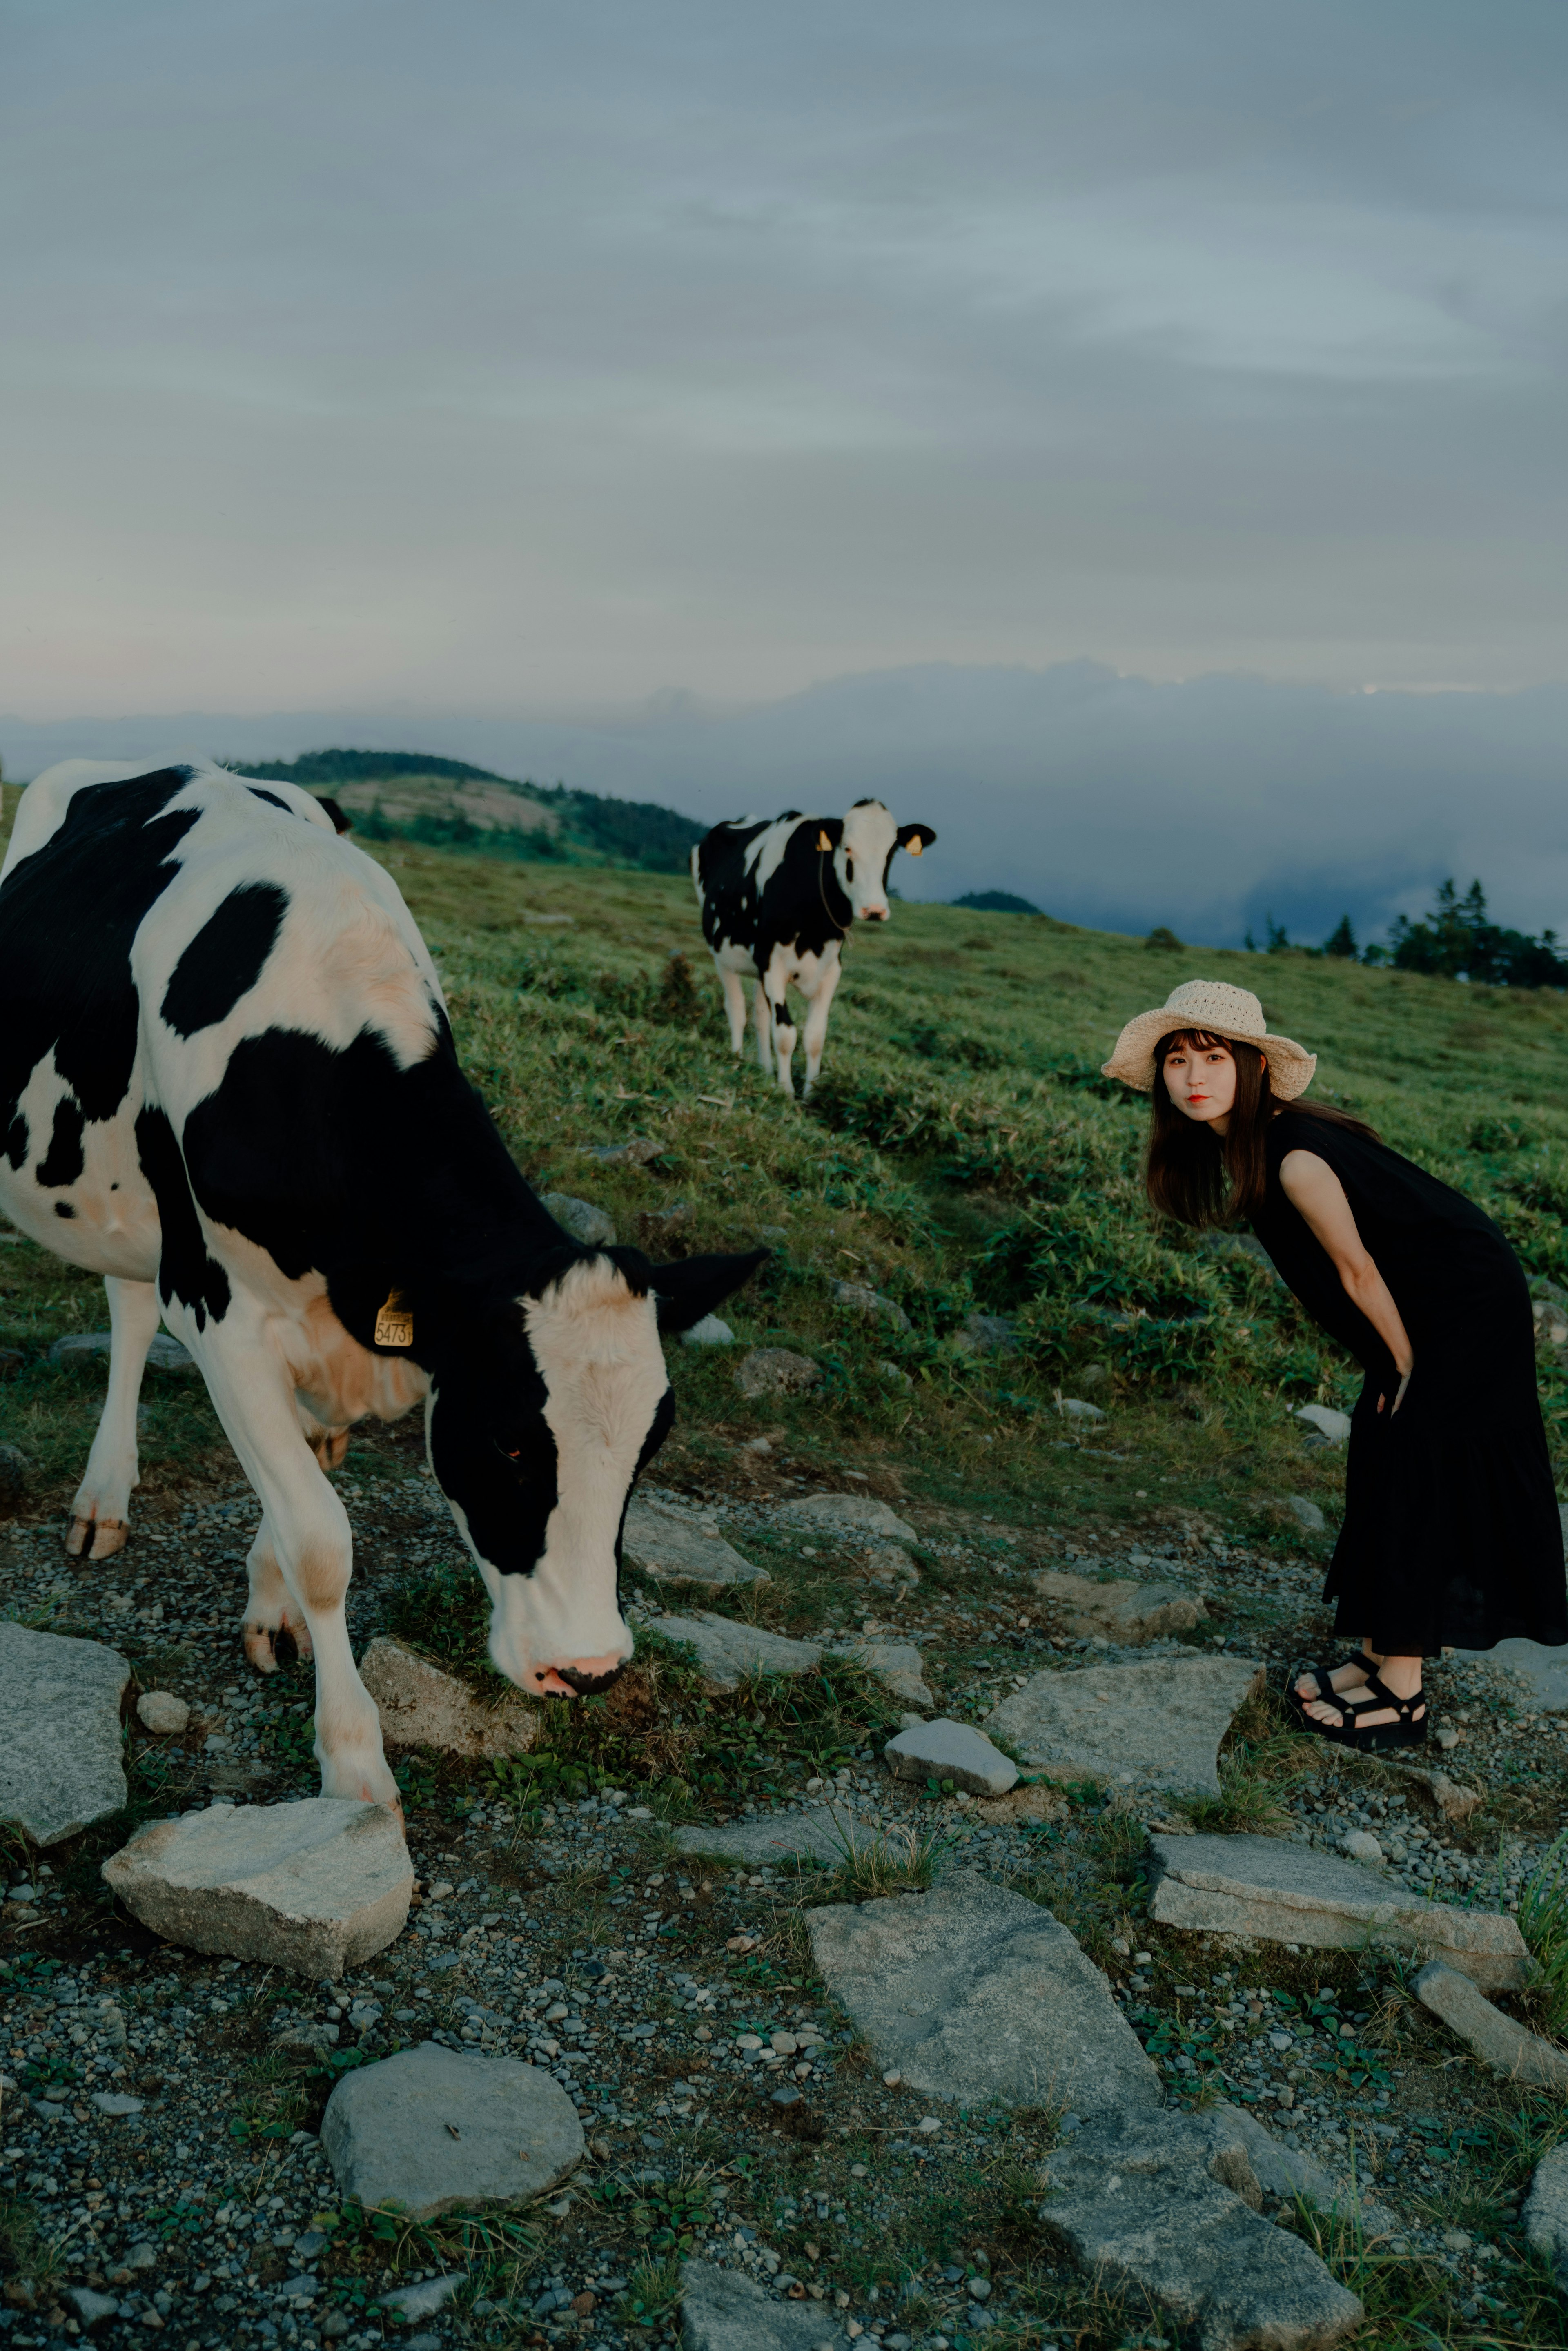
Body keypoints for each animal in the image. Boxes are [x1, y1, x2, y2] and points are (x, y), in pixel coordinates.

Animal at [0, 762, 762, 1805]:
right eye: (508, 1442)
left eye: (650, 1447)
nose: (588, 1669)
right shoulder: (217, 1307)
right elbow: (322, 1540)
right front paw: (355, 1766)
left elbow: (298, 1491)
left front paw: (271, 1604)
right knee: (132, 1310)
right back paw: (102, 1500)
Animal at [691, 794, 940, 1095]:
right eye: (847, 848)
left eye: (891, 851)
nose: (875, 910)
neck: (814, 927)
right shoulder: (772, 963)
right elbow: (786, 1033)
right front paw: (786, 1091)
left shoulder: (831, 969)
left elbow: (815, 1036)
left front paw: (811, 1092)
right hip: (722, 953)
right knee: (737, 1008)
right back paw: (737, 1061)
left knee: (760, 1014)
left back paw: (765, 1069)